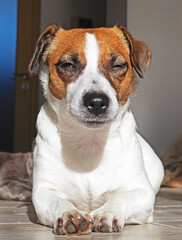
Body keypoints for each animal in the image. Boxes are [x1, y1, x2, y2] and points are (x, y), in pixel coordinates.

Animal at [28, 25, 164, 235]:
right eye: (68, 64)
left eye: (118, 65)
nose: (97, 102)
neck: (89, 141)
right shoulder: (44, 192)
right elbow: (59, 202)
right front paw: (70, 214)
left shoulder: (141, 192)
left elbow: (120, 197)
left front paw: (107, 212)